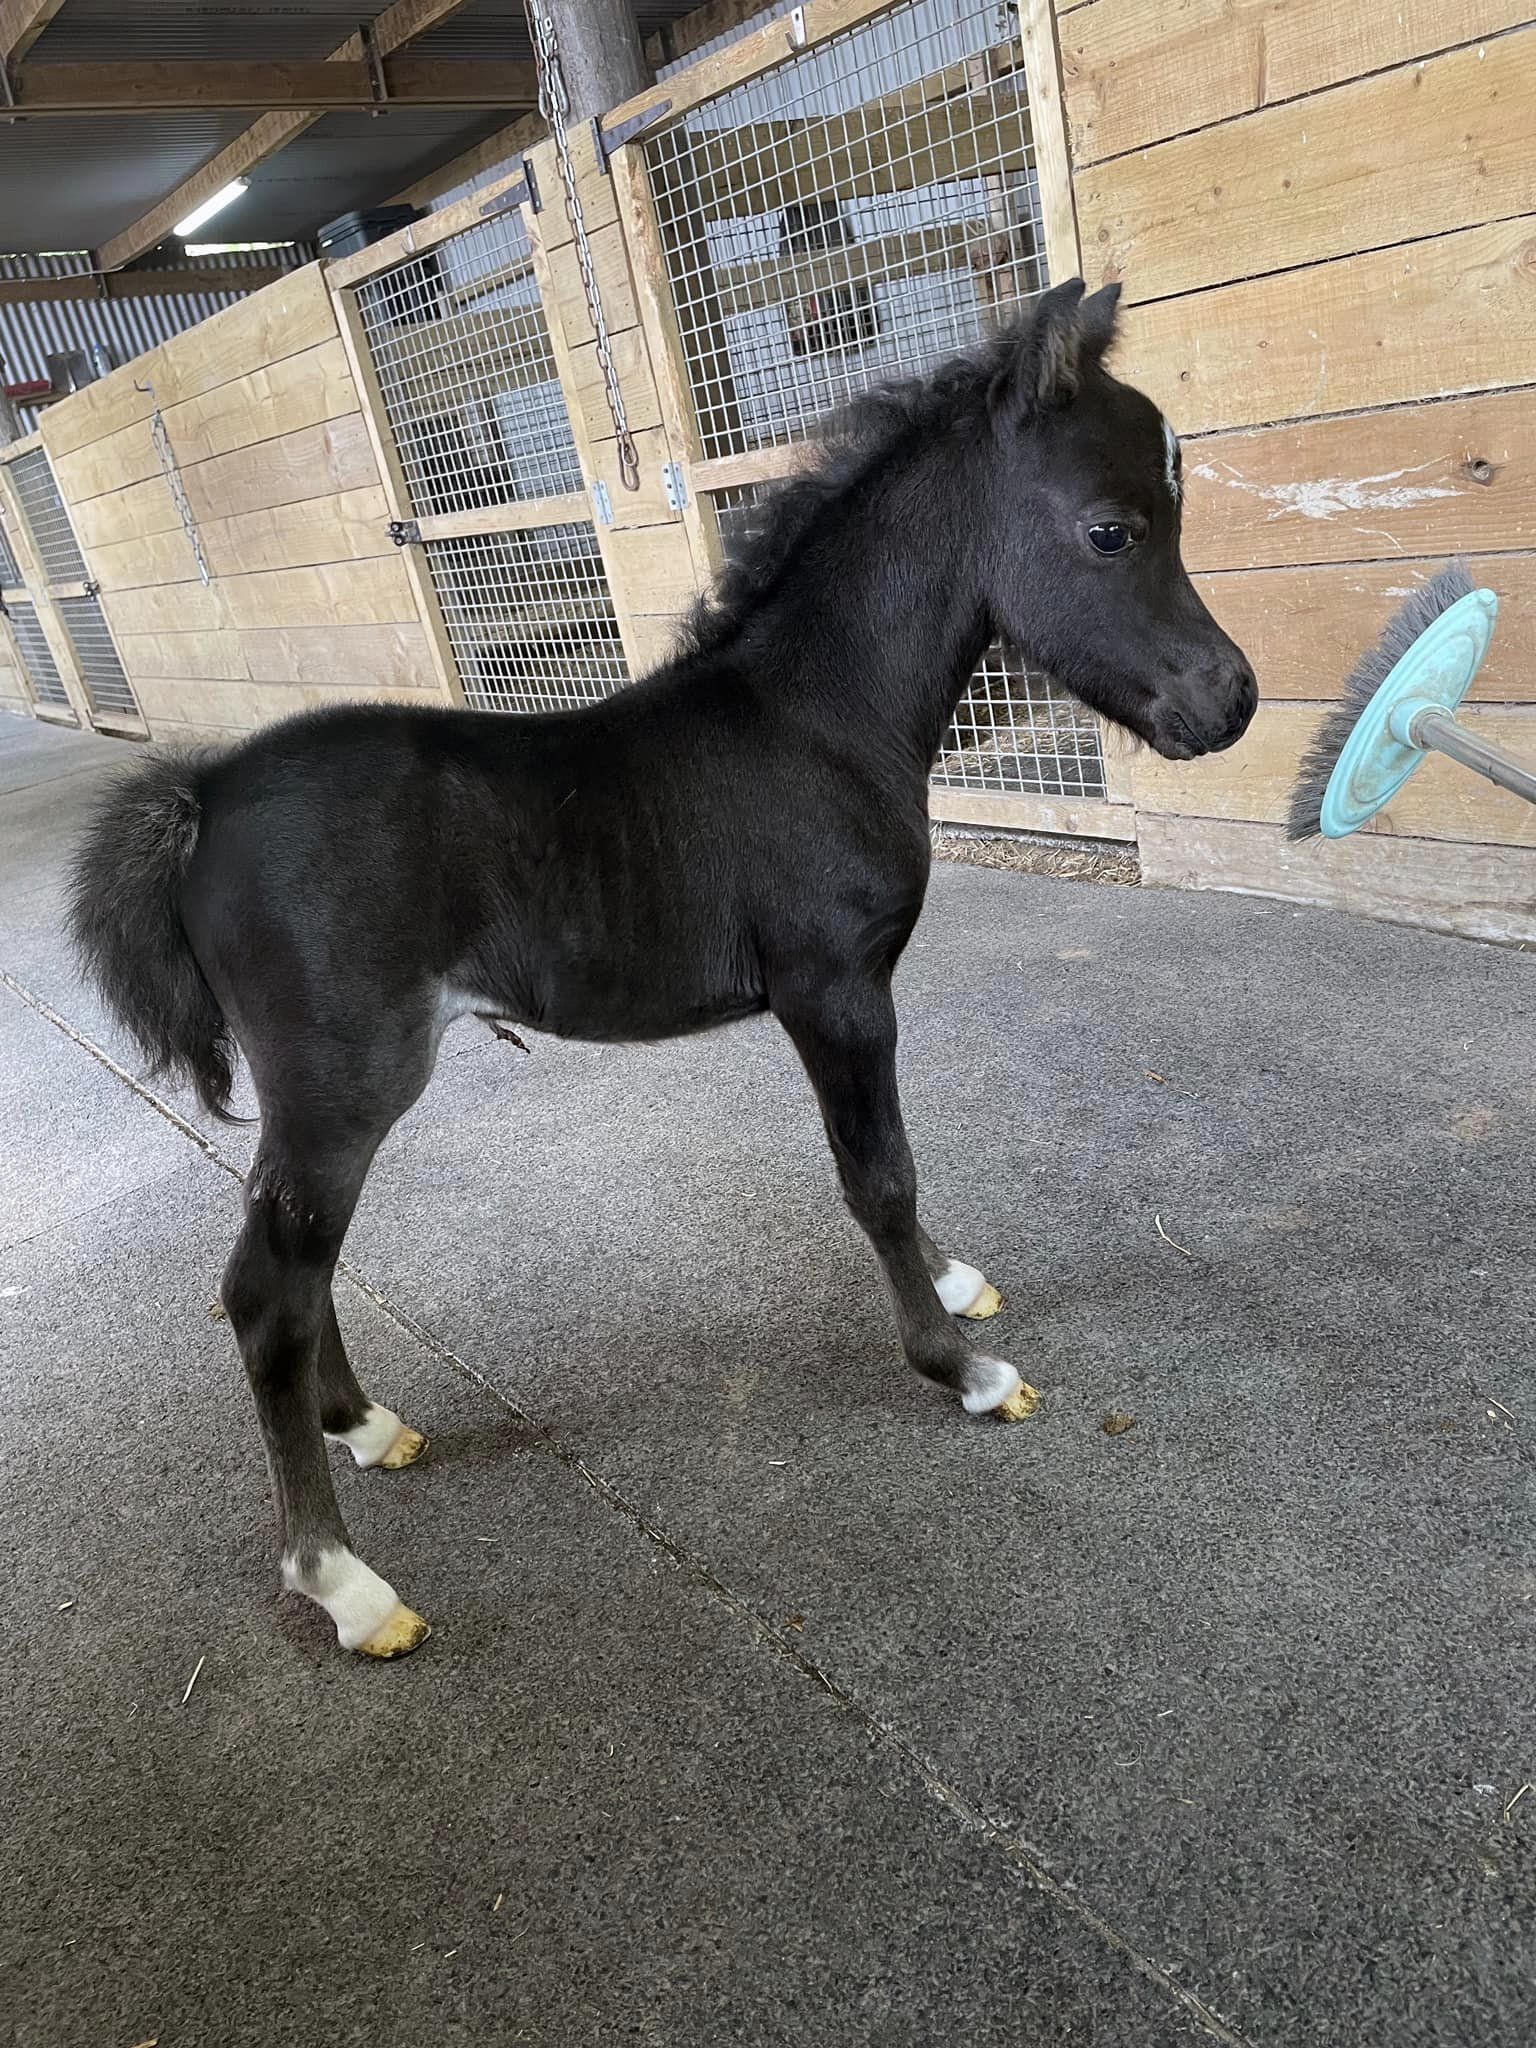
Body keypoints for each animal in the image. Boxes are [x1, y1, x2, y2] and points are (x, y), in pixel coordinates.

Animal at [69, 280, 1256, 1659]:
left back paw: (369, 1426)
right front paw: (961, 1369)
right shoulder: (833, 993)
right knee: (266, 1292)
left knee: (299, 1274)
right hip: (343, 1086)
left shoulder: (847, 1000)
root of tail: (197, 800)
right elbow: (878, 1177)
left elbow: (892, 1164)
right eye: (1111, 529)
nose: (1231, 700)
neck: (816, 721)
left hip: (318, 1103)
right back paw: (345, 1582)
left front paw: (963, 1287)